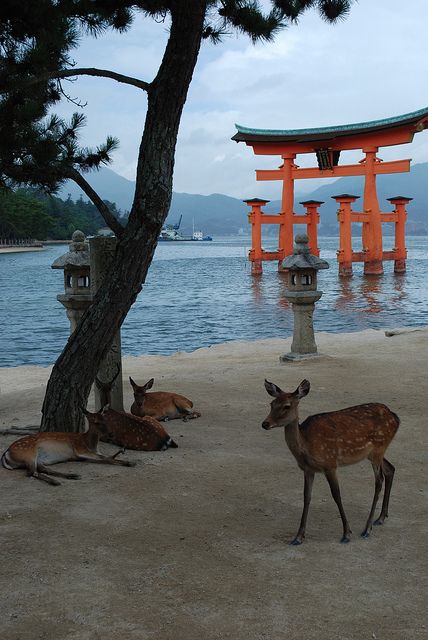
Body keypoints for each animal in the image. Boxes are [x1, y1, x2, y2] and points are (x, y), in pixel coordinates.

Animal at [0, 408, 135, 488]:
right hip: (28, 454)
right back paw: (56, 482)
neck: (88, 443)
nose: (111, 434)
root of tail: (6, 453)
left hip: (35, 459)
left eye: (105, 419)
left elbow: (105, 456)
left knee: (43, 469)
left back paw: (72, 476)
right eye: (96, 422)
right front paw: (129, 462)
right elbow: (106, 458)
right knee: (32, 472)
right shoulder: (80, 450)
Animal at [262, 380, 400, 544]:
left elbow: (336, 495)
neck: (306, 445)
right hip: (374, 453)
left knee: (379, 480)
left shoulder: (330, 463)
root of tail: (395, 417)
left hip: (379, 448)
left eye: (286, 406)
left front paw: (346, 533)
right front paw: (298, 536)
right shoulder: (308, 469)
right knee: (390, 469)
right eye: (271, 403)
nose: (265, 423)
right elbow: (306, 496)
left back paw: (367, 529)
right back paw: (381, 518)